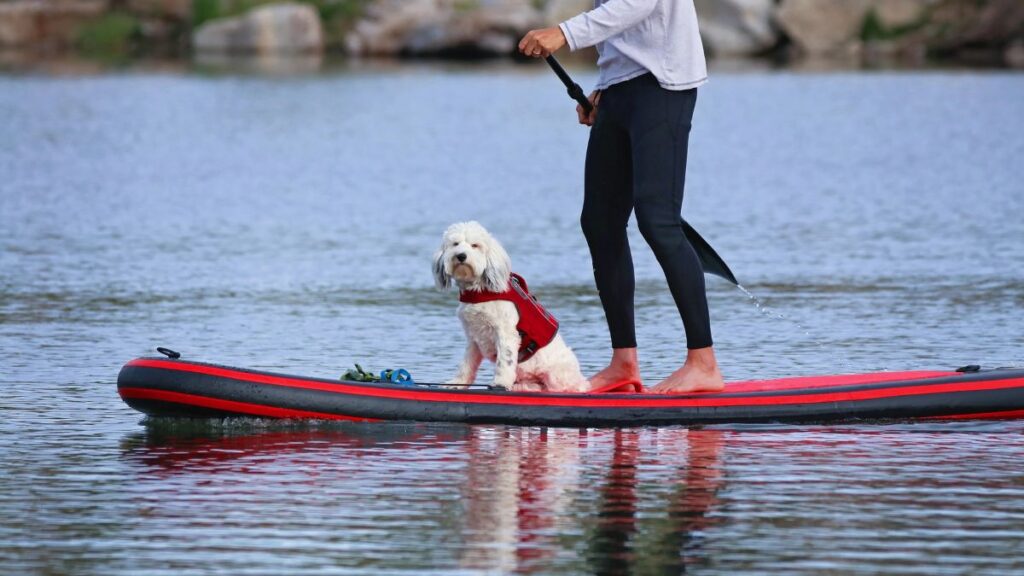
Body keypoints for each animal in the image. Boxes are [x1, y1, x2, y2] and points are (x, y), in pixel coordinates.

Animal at [432, 219, 589, 389]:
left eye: (475, 245)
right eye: (455, 244)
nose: (461, 256)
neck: (479, 291)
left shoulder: (505, 333)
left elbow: (504, 362)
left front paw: (499, 383)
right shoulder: (474, 338)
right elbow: (466, 364)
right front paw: (456, 383)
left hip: (556, 377)